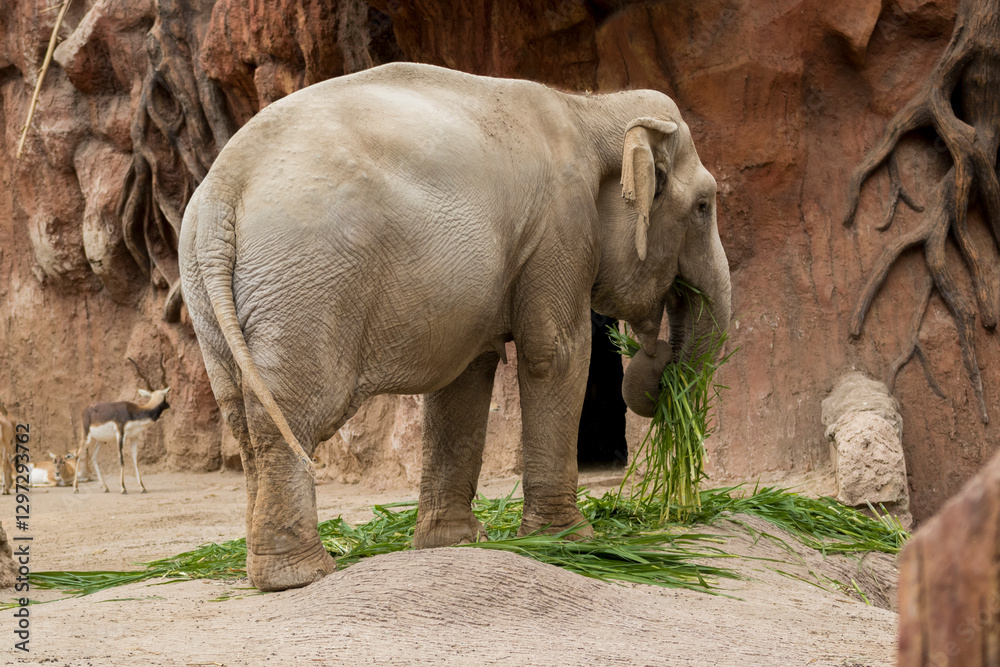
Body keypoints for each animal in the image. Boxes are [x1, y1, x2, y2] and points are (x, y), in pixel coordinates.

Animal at [178, 62, 731, 592]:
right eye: (704, 206)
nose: (656, 353)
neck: (589, 109)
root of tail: (223, 187)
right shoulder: (559, 225)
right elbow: (555, 354)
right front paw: (572, 542)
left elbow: (465, 377)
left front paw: (455, 544)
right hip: (306, 281)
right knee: (290, 414)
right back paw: (302, 575)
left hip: (211, 296)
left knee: (242, 416)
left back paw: (271, 568)